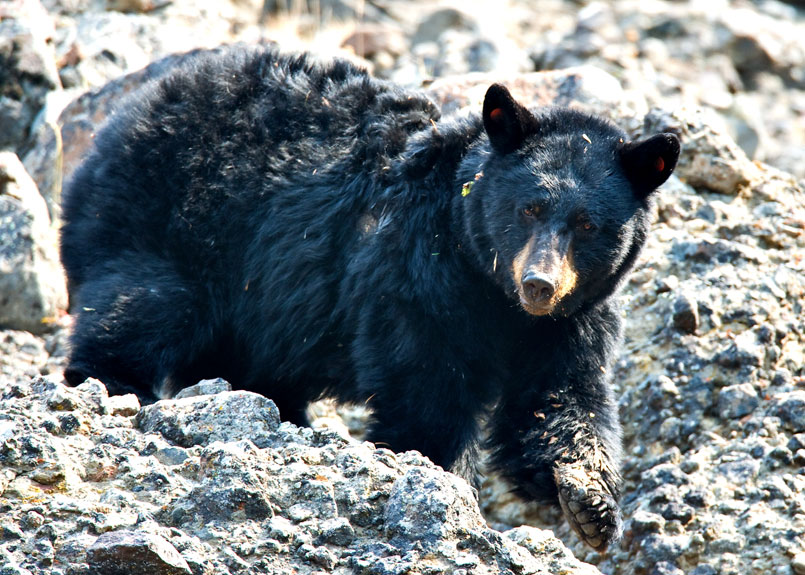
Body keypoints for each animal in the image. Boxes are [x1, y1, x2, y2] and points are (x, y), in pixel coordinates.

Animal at [61, 44, 680, 548]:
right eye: (528, 207)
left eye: (587, 225)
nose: (539, 284)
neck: (490, 290)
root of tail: (127, 115)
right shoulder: (416, 276)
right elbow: (426, 390)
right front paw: (445, 485)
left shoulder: (572, 319)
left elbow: (556, 399)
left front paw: (589, 501)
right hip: (164, 225)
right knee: (142, 306)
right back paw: (115, 385)